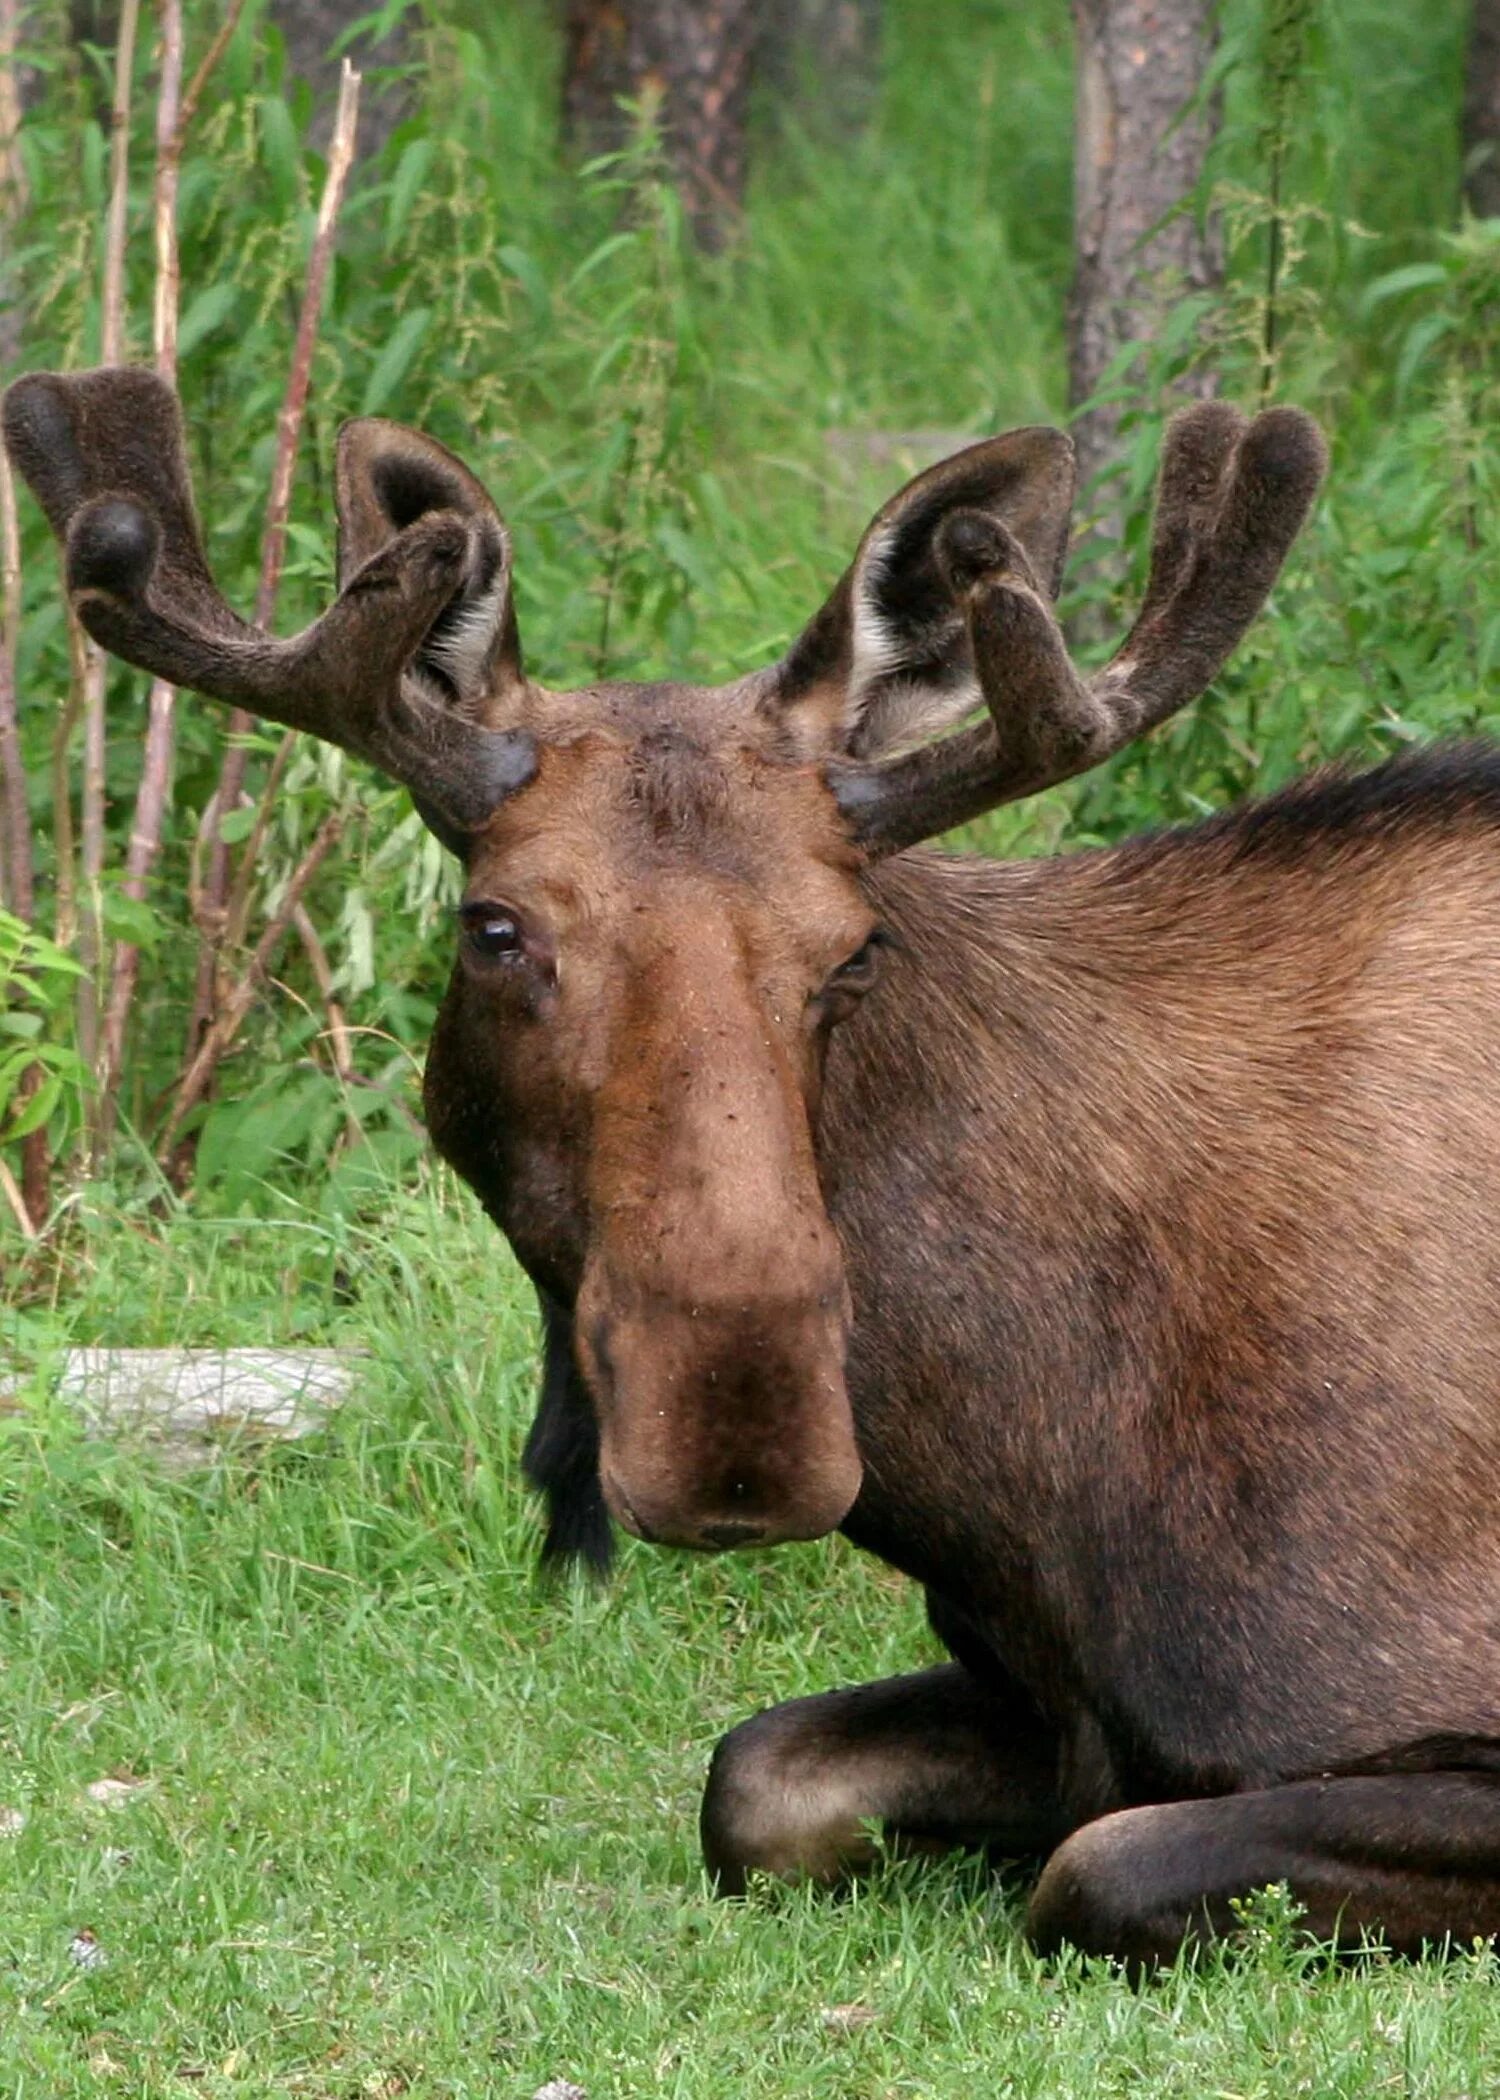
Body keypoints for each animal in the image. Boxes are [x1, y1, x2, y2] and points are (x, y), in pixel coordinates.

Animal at [2, 365, 1495, 1965]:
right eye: (496, 927)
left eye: (856, 947)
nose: (741, 1430)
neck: (1033, 1494)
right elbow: (756, 1777)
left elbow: (1102, 1865)